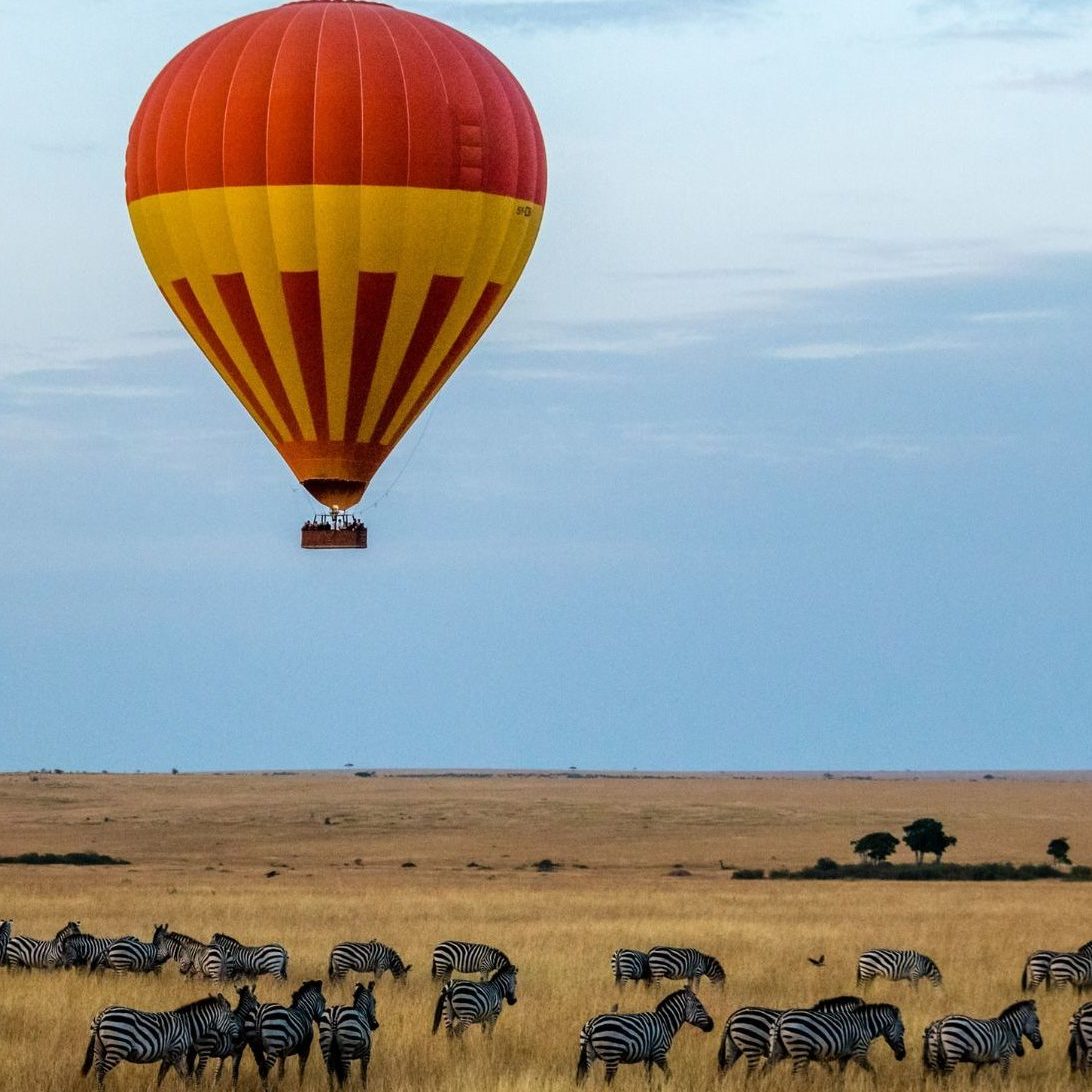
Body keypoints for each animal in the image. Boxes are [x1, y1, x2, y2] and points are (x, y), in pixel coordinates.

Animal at [80, 993, 231, 1088]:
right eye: (232, 1018)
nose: (235, 1038)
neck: (187, 1026)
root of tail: (103, 1014)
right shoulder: (176, 1051)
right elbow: (181, 1075)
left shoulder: (171, 1055)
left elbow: (164, 1076)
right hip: (117, 1047)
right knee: (101, 1072)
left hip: (99, 1048)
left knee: (97, 1070)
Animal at [576, 987, 714, 1083]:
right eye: (699, 1006)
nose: (712, 1025)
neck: (665, 1022)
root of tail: (591, 1025)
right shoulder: (659, 1052)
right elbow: (669, 1074)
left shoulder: (649, 1056)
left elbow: (649, 1078)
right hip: (612, 1054)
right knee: (607, 1081)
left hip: (589, 1053)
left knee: (583, 1077)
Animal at [767, 1002, 906, 1074]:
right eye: (903, 1030)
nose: (902, 1055)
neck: (864, 1025)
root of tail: (782, 1018)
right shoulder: (859, 1052)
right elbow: (873, 1072)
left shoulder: (844, 1057)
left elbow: (839, 1077)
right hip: (800, 1048)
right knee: (796, 1074)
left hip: (779, 1051)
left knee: (765, 1069)